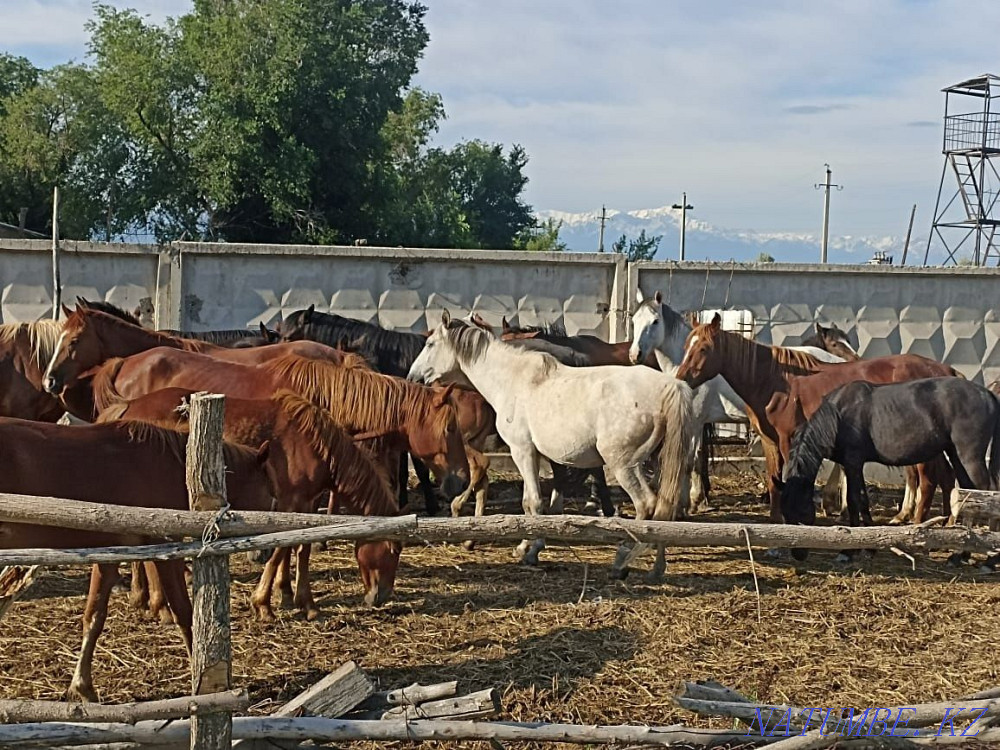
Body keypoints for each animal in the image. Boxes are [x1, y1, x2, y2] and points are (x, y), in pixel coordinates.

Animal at [0, 418, 274, 701]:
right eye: (271, 494)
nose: (263, 554)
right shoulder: (166, 553)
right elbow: (184, 613)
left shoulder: (109, 556)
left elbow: (94, 617)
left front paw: (83, 687)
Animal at [408, 312, 695, 580]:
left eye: (431, 343)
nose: (413, 377)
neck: (511, 379)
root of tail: (670, 386)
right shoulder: (536, 456)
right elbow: (535, 504)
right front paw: (528, 546)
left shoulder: (522, 451)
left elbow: (533, 503)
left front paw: (529, 550)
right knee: (664, 508)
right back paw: (657, 567)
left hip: (624, 464)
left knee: (646, 505)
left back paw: (622, 559)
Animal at [675, 315, 959, 530]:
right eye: (687, 346)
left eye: (704, 348)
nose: (681, 378)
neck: (777, 381)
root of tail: (944, 371)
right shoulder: (770, 440)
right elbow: (774, 480)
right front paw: (777, 520)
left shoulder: (790, 439)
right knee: (945, 478)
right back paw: (945, 522)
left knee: (927, 480)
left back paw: (919, 525)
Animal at [781, 378, 1000, 560]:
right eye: (786, 514)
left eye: (803, 510)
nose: (799, 555)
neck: (840, 415)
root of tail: (987, 394)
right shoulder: (850, 465)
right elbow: (860, 501)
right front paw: (867, 547)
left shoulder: (853, 463)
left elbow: (855, 500)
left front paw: (850, 551)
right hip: (956, 454)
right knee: (967, 493)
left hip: (969, 457)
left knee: (985, 493)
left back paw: (982, 558)